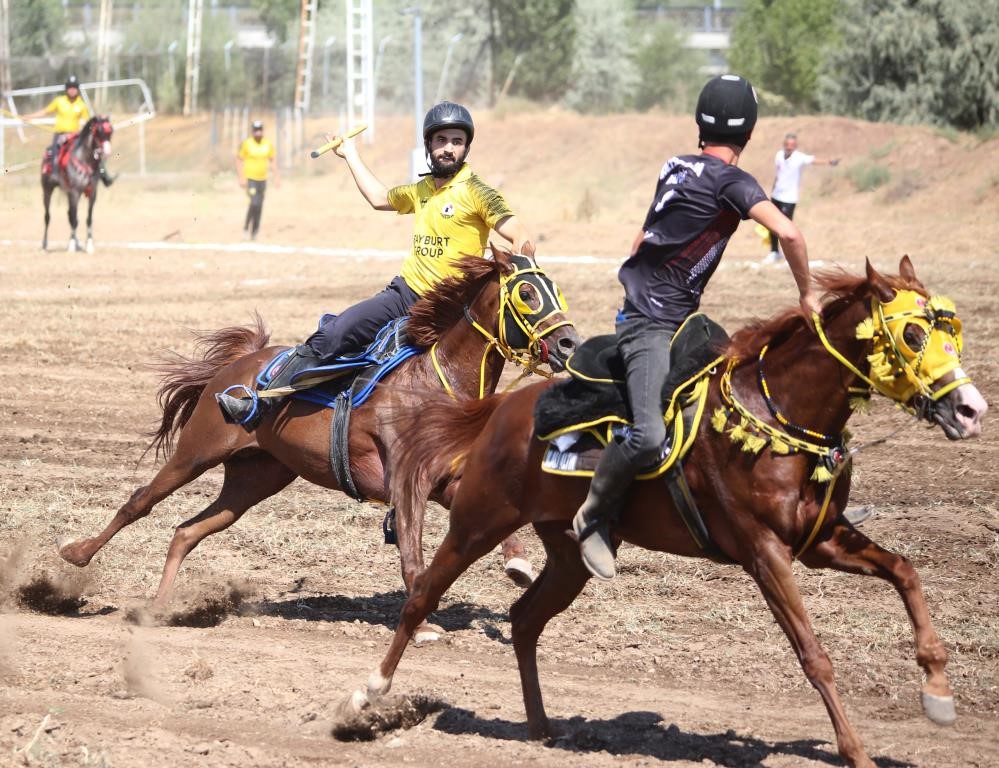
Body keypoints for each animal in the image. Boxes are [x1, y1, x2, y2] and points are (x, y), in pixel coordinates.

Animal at [41, 115, 113, 252]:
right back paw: (44, 244)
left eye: (111, 131)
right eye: (98, 131)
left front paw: (89, 245)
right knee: (48, 217)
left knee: (70, 215)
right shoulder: (75, 192)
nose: (107, 152)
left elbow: (88, 219)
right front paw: (72, 245)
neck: (85, 160)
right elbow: (74, 219)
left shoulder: (92, 194)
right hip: (47, 190)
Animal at [58, 249, 584, 640]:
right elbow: (412, 553)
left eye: (557, 289)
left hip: (255, 478)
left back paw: (160, 607)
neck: (434, 382)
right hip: (197, 451)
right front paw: (421, 627)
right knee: (139, 502)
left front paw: (518, 564)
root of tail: (239, 366)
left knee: (188, 530)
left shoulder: (442, 484)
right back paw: (76, 555)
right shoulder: (406, 484)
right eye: (527, 292)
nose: (569, 344)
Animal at [348, 258, 988, 768]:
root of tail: (503, 406)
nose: (970, 408)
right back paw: (366, 694)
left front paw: (937, 691)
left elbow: (906, 571)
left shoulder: (823, 538)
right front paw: (856, 751)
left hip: (568, 554)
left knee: (525, 619)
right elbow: (815, 655)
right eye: (911, 333)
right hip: (479, 520)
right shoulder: (764, 553)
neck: (774, 411)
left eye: (951, 332)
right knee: (422, 593)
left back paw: (540, 727)